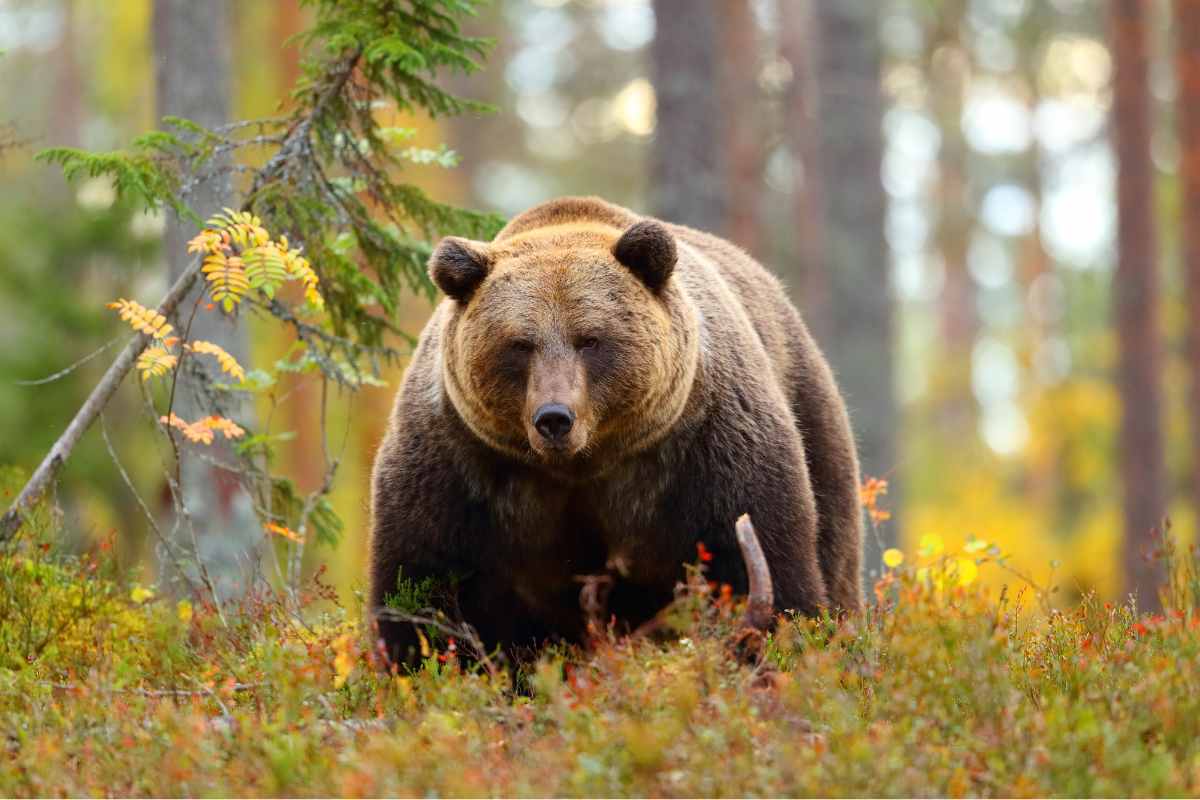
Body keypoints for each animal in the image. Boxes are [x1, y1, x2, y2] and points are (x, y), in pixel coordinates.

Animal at [369, 196, 863, 664]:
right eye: (520, 344)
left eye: (590, 339)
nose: (554, 417)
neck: (582, 466)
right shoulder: (460, 467)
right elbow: (420, 586)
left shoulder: (706, 449)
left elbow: (762, 562)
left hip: (812, 417)